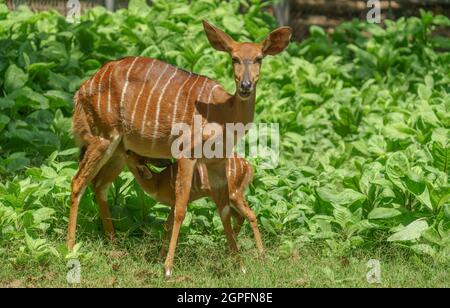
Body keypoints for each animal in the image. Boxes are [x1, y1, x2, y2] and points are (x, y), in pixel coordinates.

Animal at [68, 20, 290, 278]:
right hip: (102, 137)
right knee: (78, 182)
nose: (245, 86)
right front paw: (167, 268)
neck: (222, 114)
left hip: (120, 150)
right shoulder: (186, 153)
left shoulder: (217, 162)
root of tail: (82, 90)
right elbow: (181, 209)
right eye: (234, 58)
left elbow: (224, 211)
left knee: (99, 185)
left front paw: (240, 265)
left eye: (259, 58)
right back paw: (70, 249)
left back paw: (114, 245)